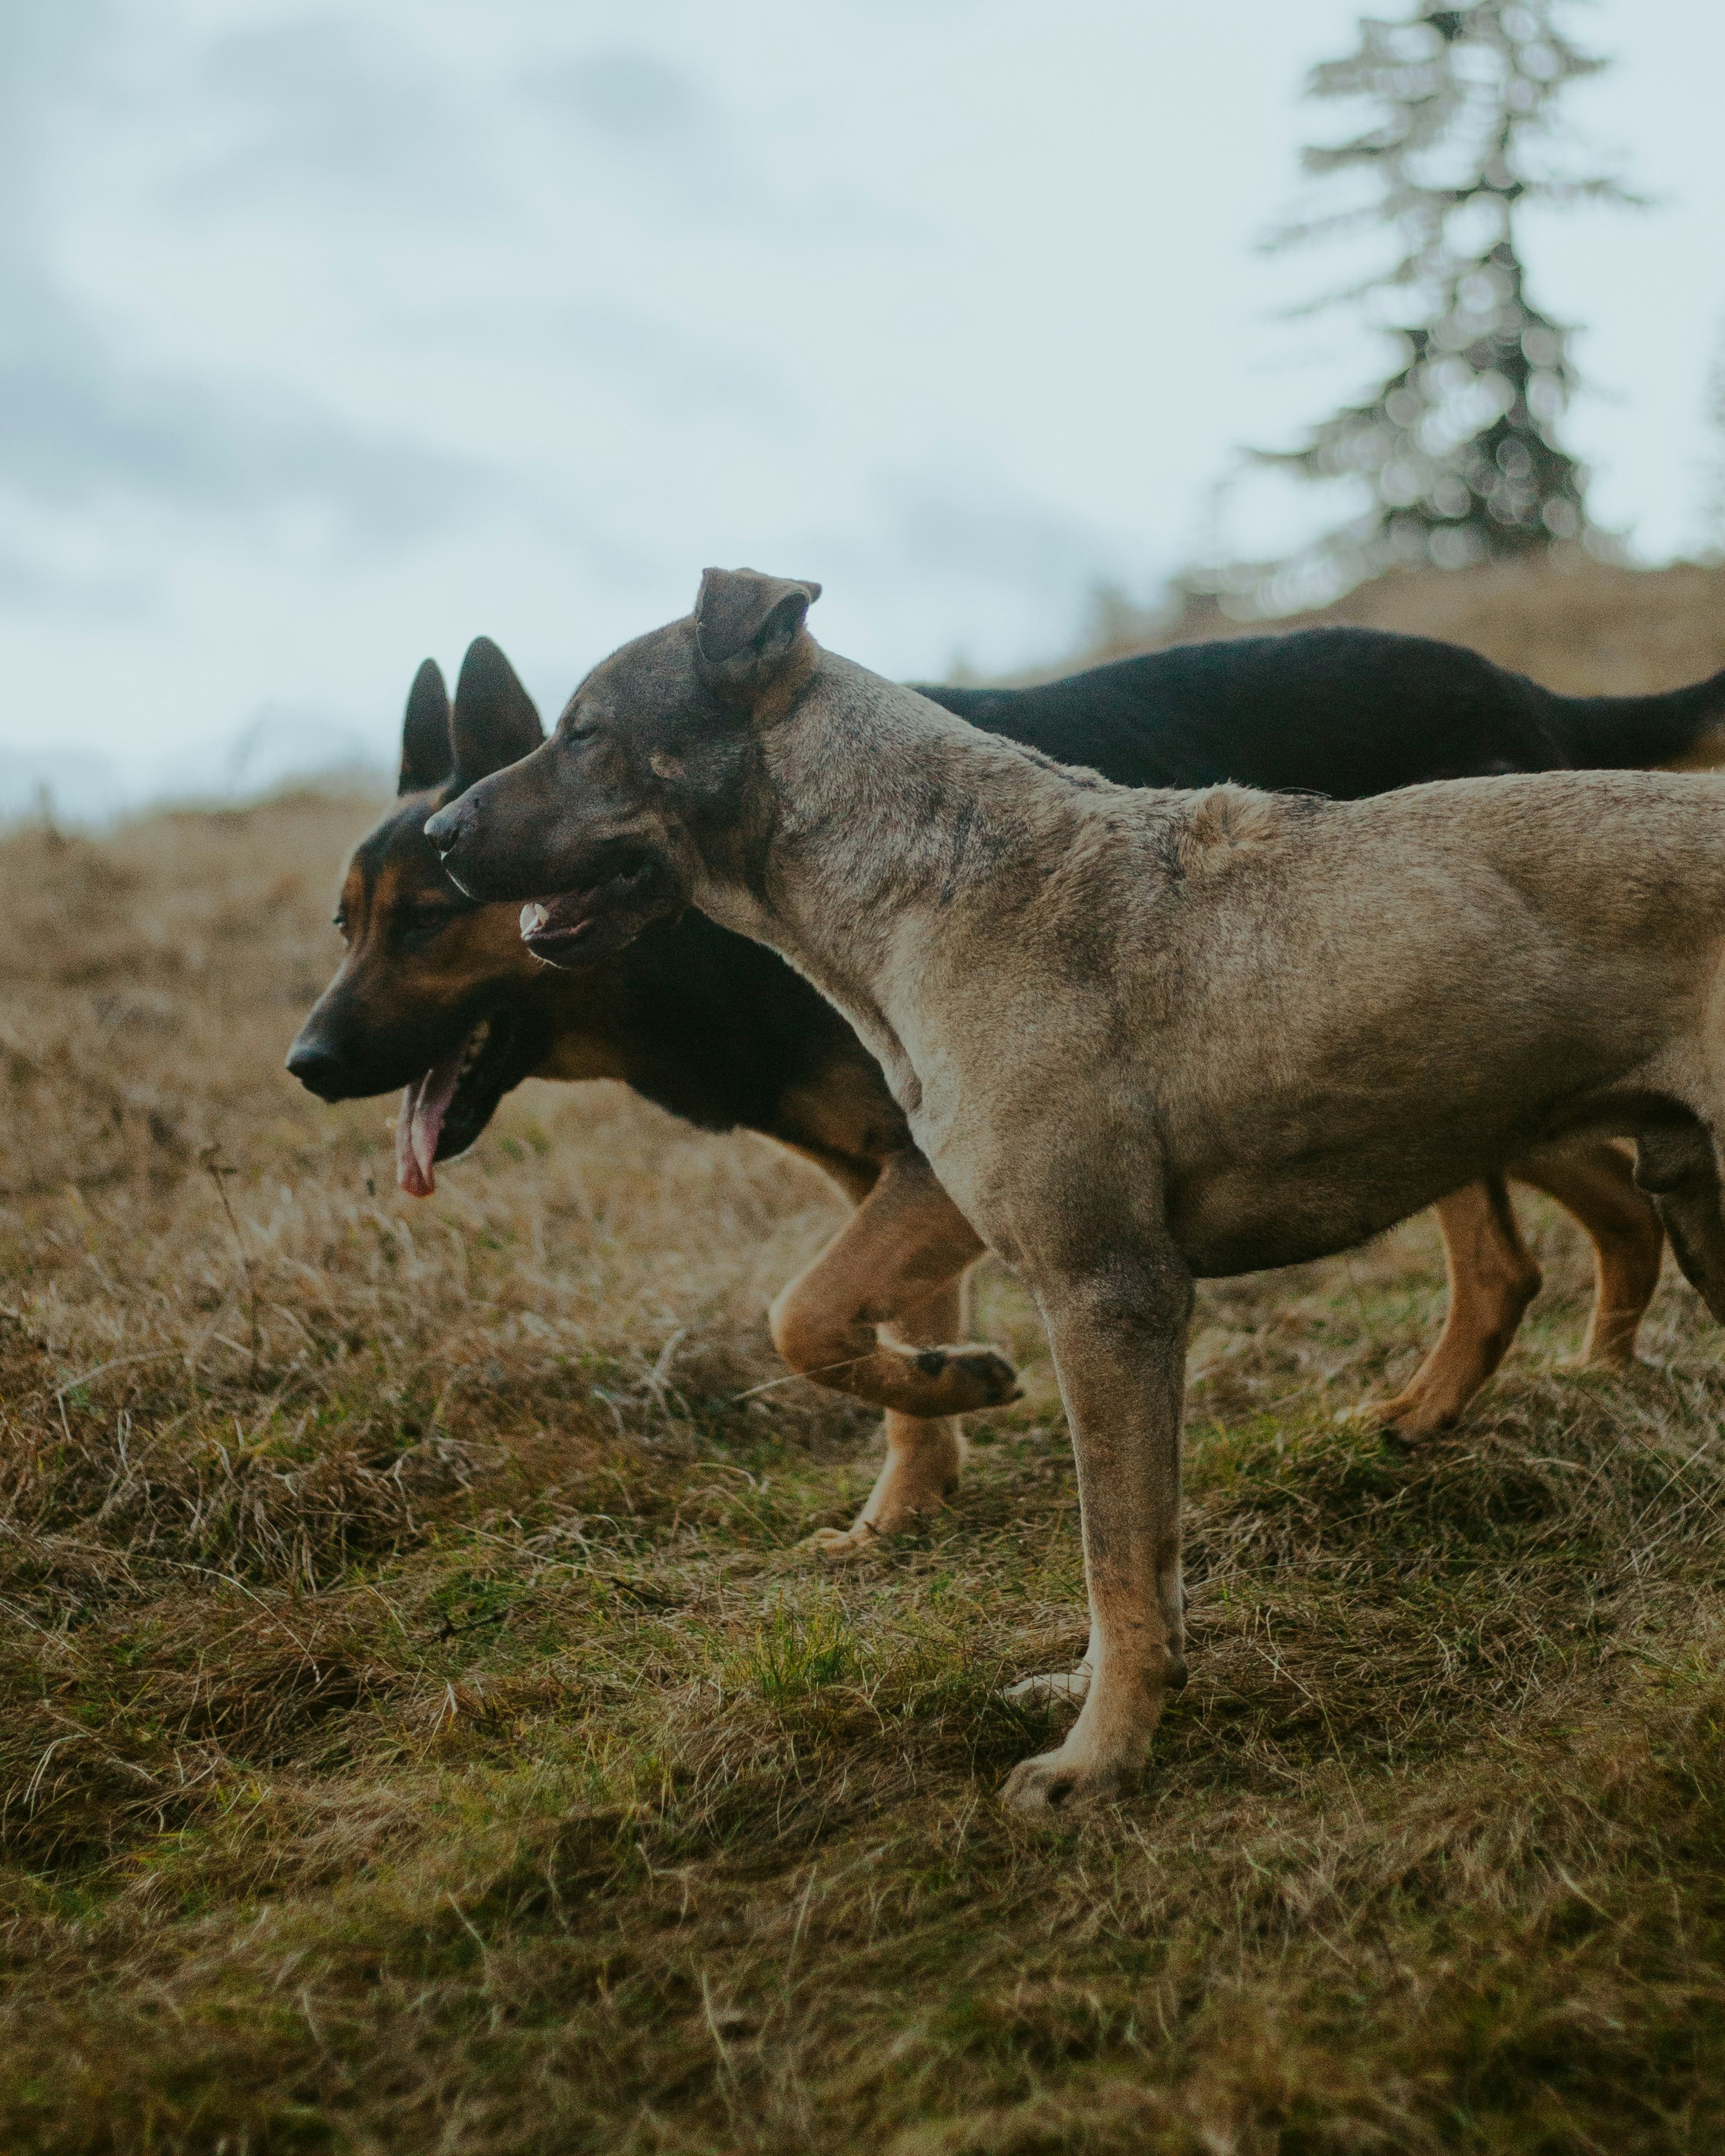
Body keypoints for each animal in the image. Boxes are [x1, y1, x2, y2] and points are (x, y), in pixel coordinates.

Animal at [427, 564, 1725, 1811]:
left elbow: (1110, 1554)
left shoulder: (1106, 1291)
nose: (437, 829)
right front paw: (1100, 1681)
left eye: (588, 734)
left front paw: (1097, 1761)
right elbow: (1145, 1550)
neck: (921, 884)